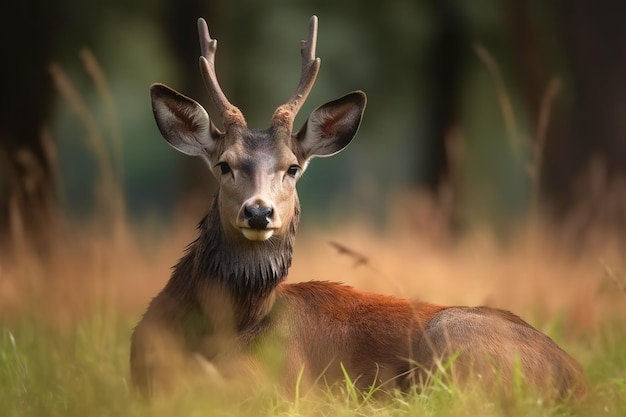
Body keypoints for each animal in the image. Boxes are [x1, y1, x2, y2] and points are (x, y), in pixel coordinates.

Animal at [132, 15, 584, 400]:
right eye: (224, 164)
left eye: (292, 167)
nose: (259, 212)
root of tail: (574, 375)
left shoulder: (282, 384)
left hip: (453, 343)